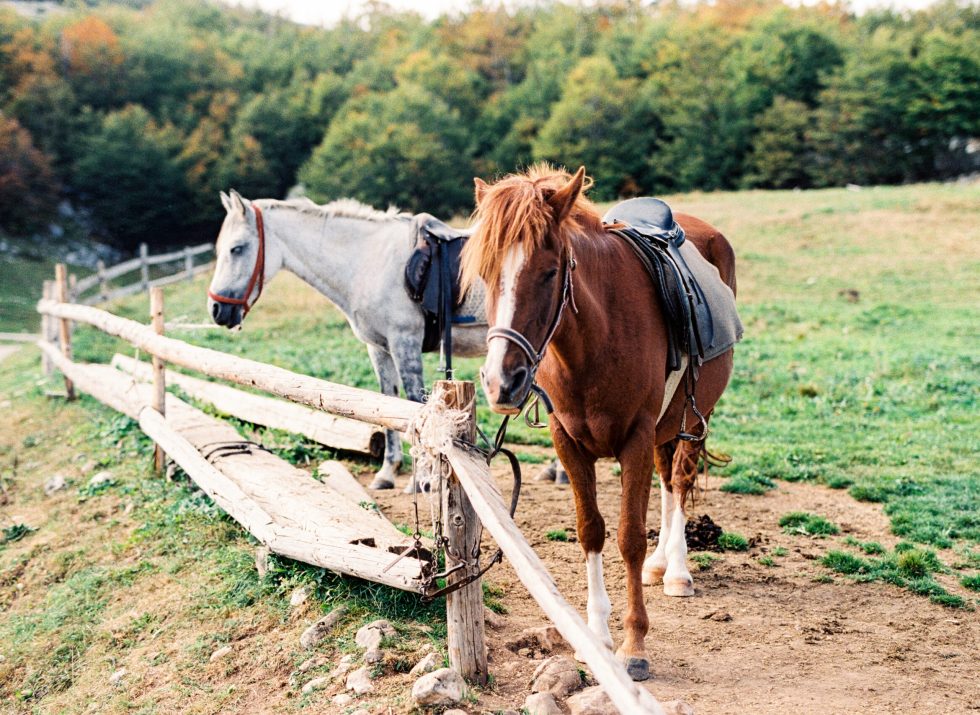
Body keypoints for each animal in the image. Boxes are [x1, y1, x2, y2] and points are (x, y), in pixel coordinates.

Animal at [212, 190, 494, 492]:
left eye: (237, 248)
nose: (216, 309)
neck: (368, 262)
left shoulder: (404, 343)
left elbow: (415, 405)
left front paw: (421, 481)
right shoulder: (379, 349)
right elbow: (387, 402)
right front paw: (388, 473)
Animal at [466, 164, 736, 684]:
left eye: (550, 272)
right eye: (487, 273)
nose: (500, 382)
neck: (595, 339)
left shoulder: (635, 439)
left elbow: (629, 537)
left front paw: (634, 646)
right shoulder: (568, 441)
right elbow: (590, 529)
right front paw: (596, 637)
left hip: (696, 416)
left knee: (679, 479)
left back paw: (677, 570)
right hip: (667, 425)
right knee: (668, 483)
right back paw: (661, 565)